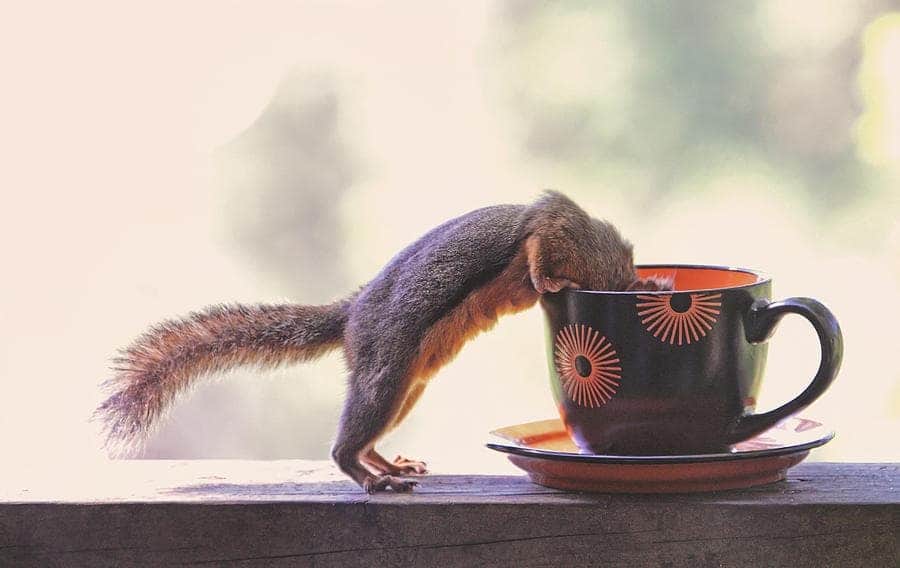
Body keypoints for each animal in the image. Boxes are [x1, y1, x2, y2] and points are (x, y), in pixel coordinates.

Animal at [96, 190, 670, 493]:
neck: (606, 265)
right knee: (344, 445)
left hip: (407, 390)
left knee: (367, 439)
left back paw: (391, 466)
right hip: (386, 373)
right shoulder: (553, 222)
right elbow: (535, 251)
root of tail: (352, 316)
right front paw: (550, 281)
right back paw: (374, 479)